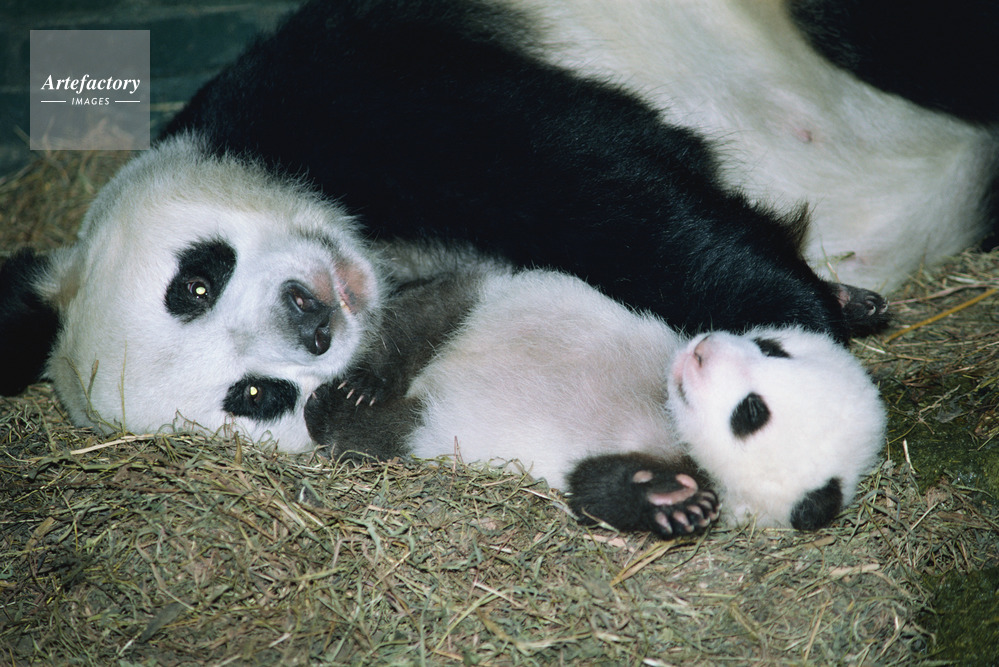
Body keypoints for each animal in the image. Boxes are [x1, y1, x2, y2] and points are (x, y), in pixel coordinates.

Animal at [304, 241, 886, 534]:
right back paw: (364, 383)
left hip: (438, 426)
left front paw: (674, 503)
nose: (702, 350)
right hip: (481, 297)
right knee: (412, 325)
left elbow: (592, 488)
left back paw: (334, 410)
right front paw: (852, 302)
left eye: (751, 413)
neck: (663, 401)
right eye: (770, 346)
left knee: (388, 432)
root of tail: (433, 375)